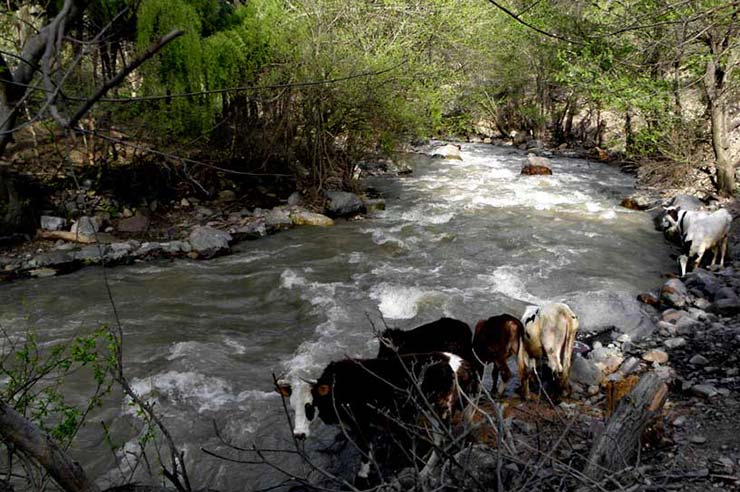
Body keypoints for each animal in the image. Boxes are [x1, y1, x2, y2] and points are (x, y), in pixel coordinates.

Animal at [274, 352, 476, 486]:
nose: (299, 434)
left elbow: (365, 450)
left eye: (309, 406)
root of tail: (461, 363)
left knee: (441, 441)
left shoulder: (362, 423)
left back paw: (425, 472)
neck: (338, 389)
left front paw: (362, 477)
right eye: (293, 407)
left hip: (437, 410)